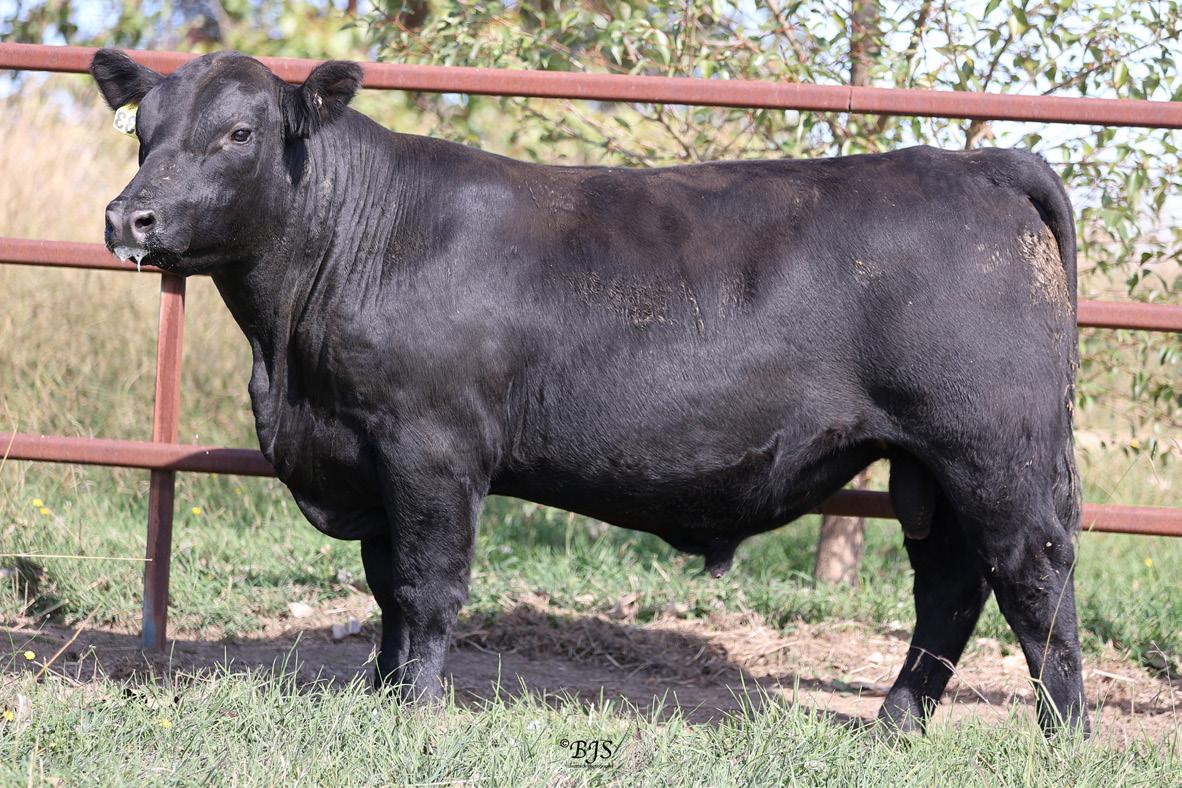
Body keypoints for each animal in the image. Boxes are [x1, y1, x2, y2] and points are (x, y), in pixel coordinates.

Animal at [91, 48, 1088, 736]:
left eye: (239, 133)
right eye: (142, 130)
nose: (128, 217)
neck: (288, 358)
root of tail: (976, 164)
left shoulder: (432, 450)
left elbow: (426, 587)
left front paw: (417, 710)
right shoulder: (366, 460)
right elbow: (385, 591)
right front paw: (380, 693)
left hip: (994, 451)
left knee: (1033, 575)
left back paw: (1064, 735)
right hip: (933, 470)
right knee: (952, 586)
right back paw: (895, 725)